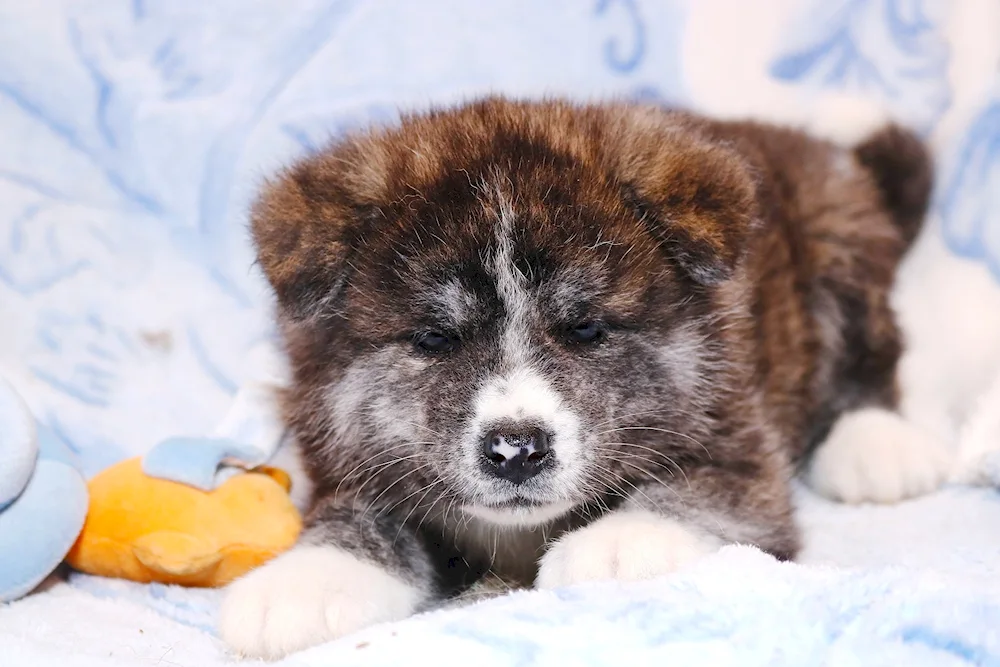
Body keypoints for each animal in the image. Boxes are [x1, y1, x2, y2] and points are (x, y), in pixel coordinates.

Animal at [219, 98, 936, 656]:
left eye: (586, 328)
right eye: (434, 338)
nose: (516, 450)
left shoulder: (738, 446)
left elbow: (694, 492)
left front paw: (616, 542)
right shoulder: (354, 456)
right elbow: (358, 514)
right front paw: (307, 579)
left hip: (837, 241)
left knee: (875, 350)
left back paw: (875, 445)